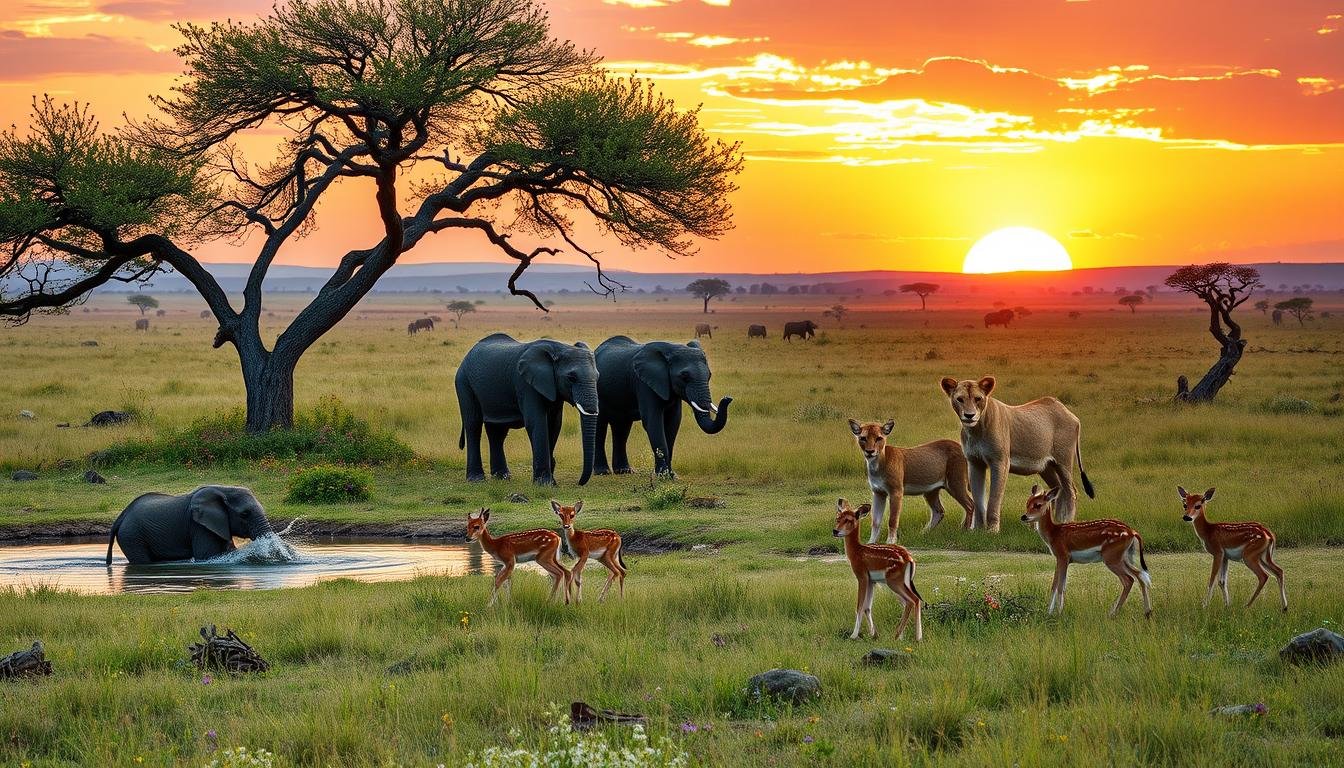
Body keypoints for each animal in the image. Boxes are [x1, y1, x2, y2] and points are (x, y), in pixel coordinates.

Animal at [105, 486, 275, 564]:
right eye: (244, 514)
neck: (224, 489)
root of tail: (121, 517)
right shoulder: (200, 527)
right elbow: (207, 555)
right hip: (132, 536)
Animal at [456, 334, 599, 486]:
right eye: (571, 378)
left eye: (598, 377)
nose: (579, 482)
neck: (558, 348)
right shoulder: (526, 384)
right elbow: (536, 423)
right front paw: (545, 484)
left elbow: (554, 425)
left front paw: (551, 482)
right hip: (464, 382)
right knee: (473, 425)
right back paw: (476, 479)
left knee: (497, 431)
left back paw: (502, 477)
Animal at [591, 334, 731, 476]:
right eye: (684, 377)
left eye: (709, 375)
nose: (727, 398)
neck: (671, 350)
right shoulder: (644, 383)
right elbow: (653, 422)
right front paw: (664, 475)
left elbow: (673, 422)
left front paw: (671, 475)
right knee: (600, 428)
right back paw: (603, 472)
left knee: (622, 429)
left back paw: (624, 471)